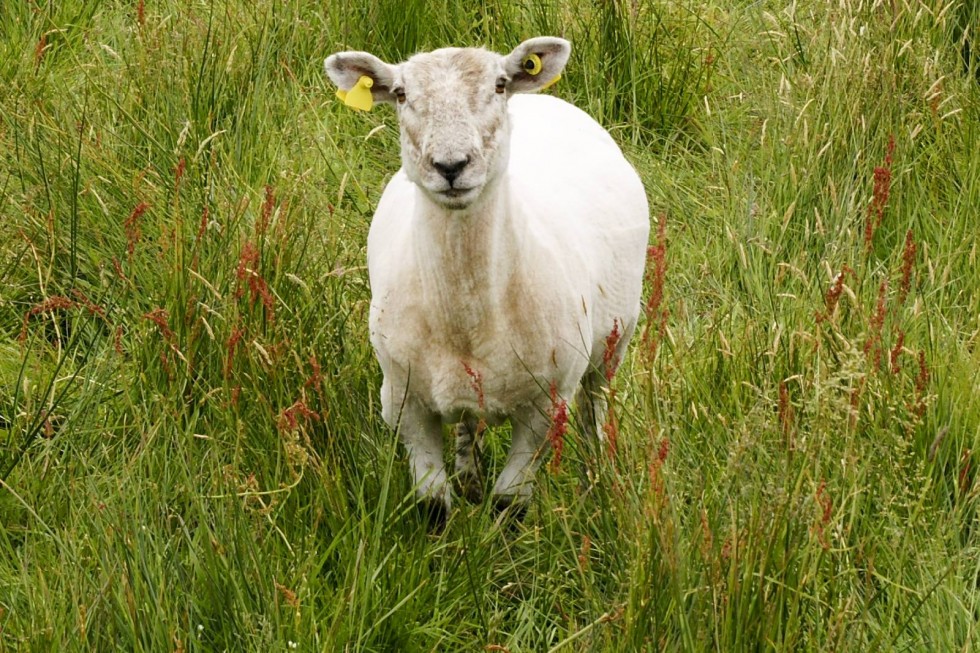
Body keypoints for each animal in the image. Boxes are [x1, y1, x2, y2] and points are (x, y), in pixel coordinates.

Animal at [326, 37, 652, 524]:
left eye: (499, 85)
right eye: (400, 94)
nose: (451, 166)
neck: (466, 316)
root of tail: (542, 101)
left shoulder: (544, 409)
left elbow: (509, 506)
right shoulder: (404, 404)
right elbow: (432, 506)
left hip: (613, 342)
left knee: (594, 407)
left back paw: (596, 480)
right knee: (468, 422)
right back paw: (470, 476)